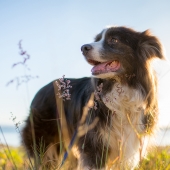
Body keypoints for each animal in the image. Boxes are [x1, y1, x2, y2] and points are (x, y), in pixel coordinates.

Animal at [21, 25, 164, 169]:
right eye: (97, 39)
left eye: (114, 40)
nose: (83, 48)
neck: (120, 86)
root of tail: (40, 91)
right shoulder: (93, 144)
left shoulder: (131, 144)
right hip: (44, 140)